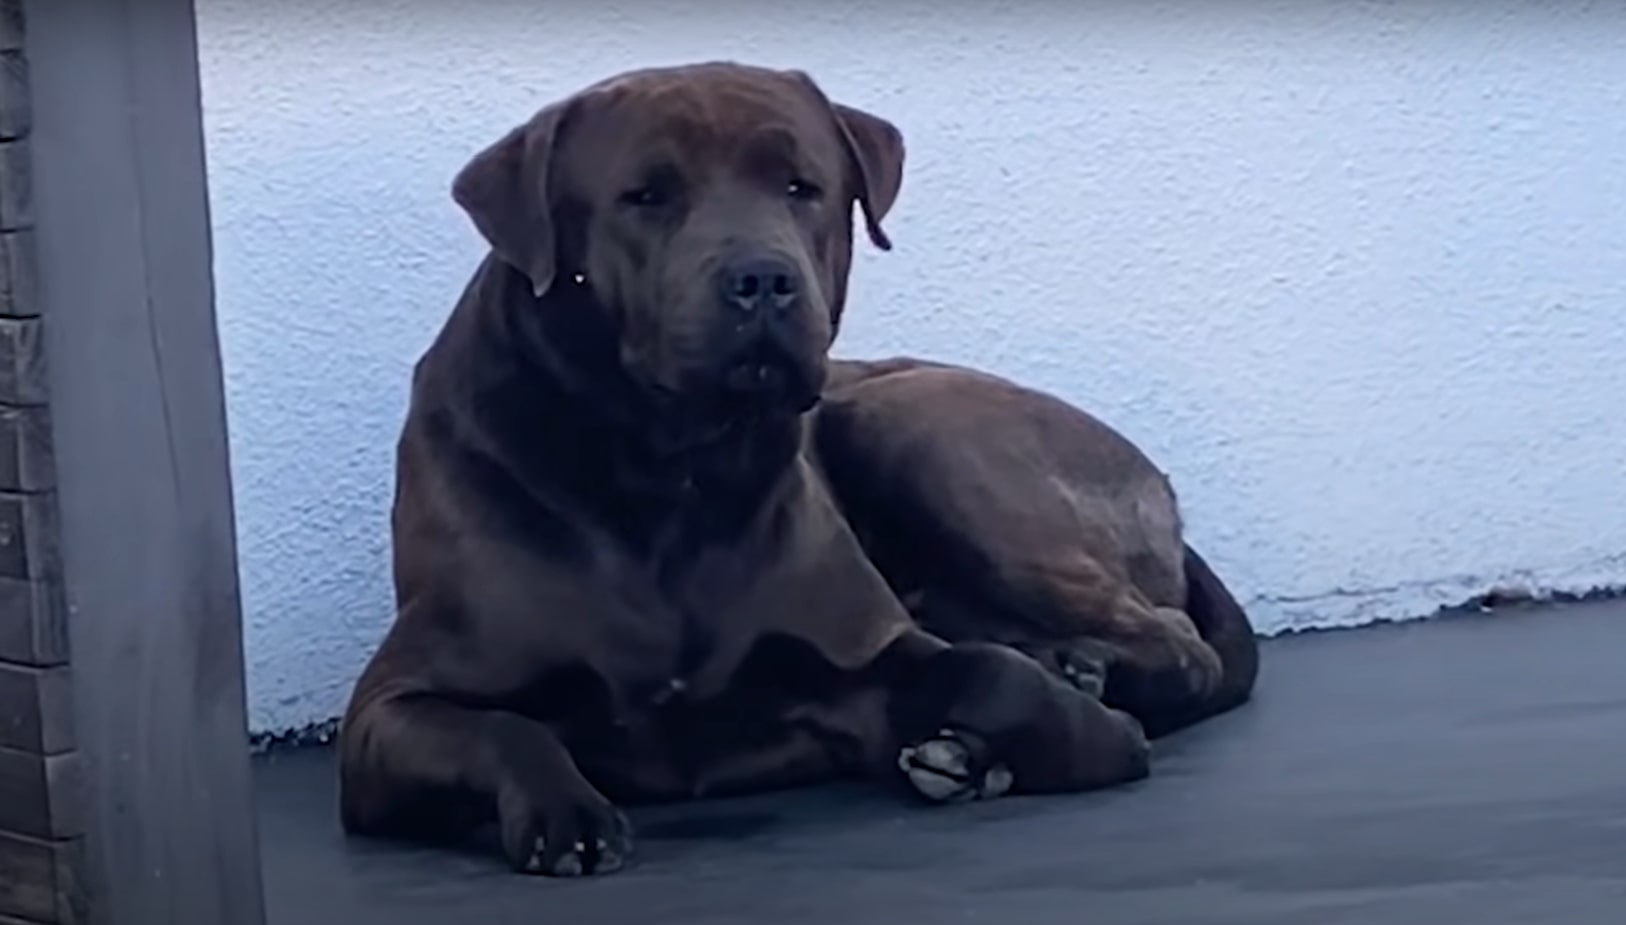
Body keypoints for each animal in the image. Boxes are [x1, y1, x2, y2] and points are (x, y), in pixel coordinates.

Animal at [339, 61, 1255, 877]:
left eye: (799, 186)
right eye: (645, 195)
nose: (762, 278)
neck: (670, 470)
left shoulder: (859, 656)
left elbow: (987, 670)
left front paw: (1086, 732)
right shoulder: (388, 709)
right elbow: (501, 725)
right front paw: (565, 811)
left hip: (920, 434)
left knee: (1174, 642)